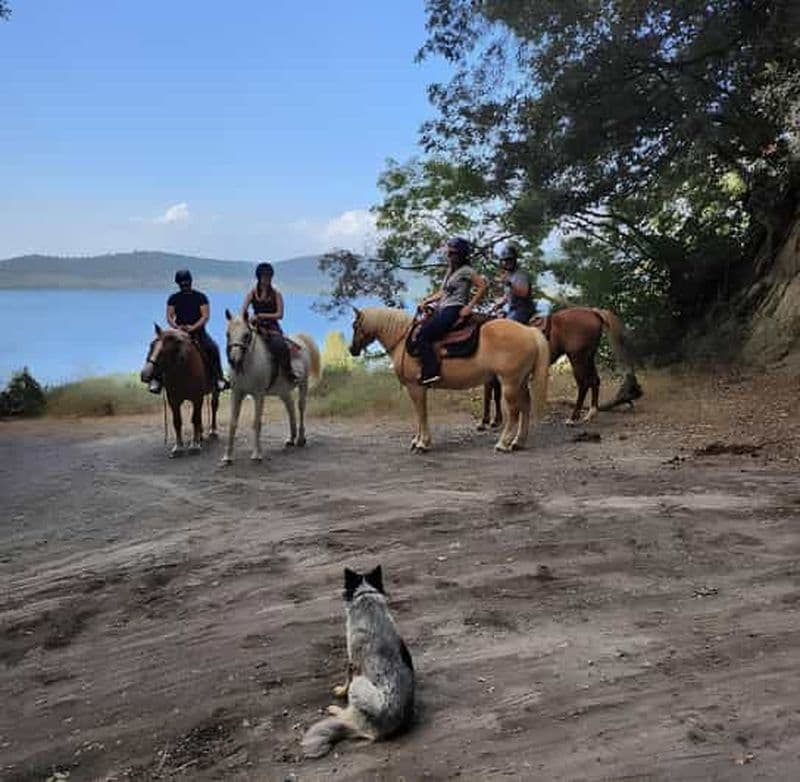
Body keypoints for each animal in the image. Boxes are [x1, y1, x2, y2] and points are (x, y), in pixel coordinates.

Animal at [139, 325, 219, 457]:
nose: (145, 374)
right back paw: (201, 435)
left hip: (214, 391)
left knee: (213, 407)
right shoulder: (174, 400)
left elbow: (195, 419)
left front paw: (194, 445)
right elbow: (177, 421)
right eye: (151, 345)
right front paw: (178, 447)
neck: (182, 370)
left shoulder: (196, 397)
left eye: (164, 351)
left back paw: (213, 432)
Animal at [221, 310, 321, 464]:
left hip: (303, 384)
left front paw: (257, 454)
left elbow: (256, 422)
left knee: (300, 407)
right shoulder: (237, 393)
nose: (234, 360)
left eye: (246, 335)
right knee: (290, 407)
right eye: (228, 334)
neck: (248, 364)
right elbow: (232, 423)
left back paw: (300, 439)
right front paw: (227, 456)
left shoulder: (258, 394)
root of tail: (300, 339)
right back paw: (291, 438)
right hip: (283, 391)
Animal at [349, 306, 550, 452]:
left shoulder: (415, 387)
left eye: (355, 326)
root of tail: (529, 331)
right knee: (526, 407)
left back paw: (503, 444)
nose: (352, 349)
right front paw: (417, 440)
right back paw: (518, 442)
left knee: (515, 411)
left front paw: (422, 443)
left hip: (510, 382)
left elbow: (421, 413)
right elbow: (419, 414)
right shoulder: (418, 388)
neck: (403, 340)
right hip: (520, 381)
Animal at [479, 307, 642, 429]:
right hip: (588, 357)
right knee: (595, 380)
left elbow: (492, 394)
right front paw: (491, 421)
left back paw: (573, 418)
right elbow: (493, 394)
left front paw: (488, 421)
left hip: (577, 358)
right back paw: (591, 414)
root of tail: (593, 312)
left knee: (583, 383)